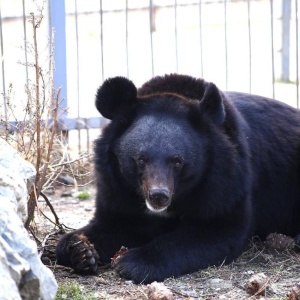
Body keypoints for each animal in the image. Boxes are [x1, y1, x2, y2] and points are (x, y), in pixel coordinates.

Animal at [55, 73, 300, 284]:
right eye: (140, 159)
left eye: (177, 161)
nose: (158, 196)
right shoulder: (115, 184)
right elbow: (114, 222)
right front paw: (81, 251)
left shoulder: (226, 182)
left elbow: (217, 227)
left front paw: (133, 262)